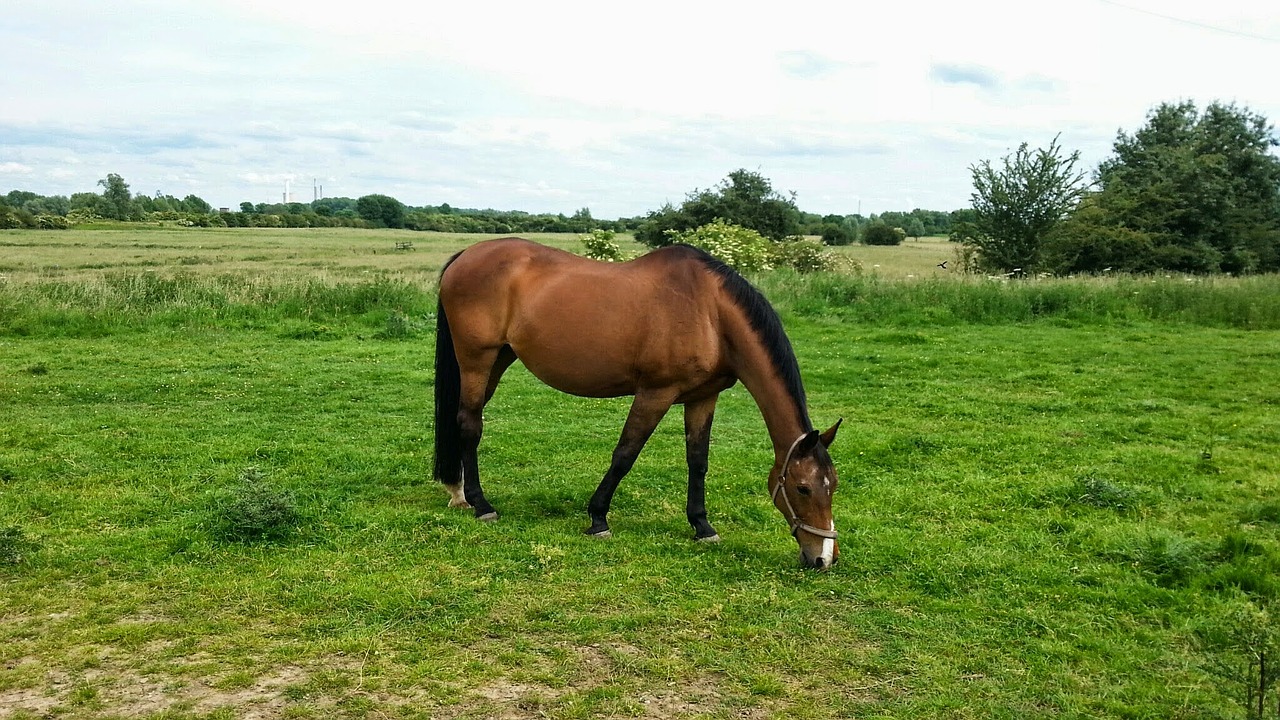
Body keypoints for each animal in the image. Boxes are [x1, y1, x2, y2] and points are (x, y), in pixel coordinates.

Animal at [435, 235, 844, 566]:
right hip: (477, 359)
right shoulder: (655, 393)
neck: (710, 313)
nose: (824, 558)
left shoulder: (703, 397)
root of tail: (466, 255)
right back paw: (480, 504)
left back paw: (458, 493)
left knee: (463, 419)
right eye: (802, 487)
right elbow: (625, 454)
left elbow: (698, 461)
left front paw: (702, 525)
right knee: (470, 424)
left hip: (498, 360)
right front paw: (598, 518)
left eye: (833, 485)